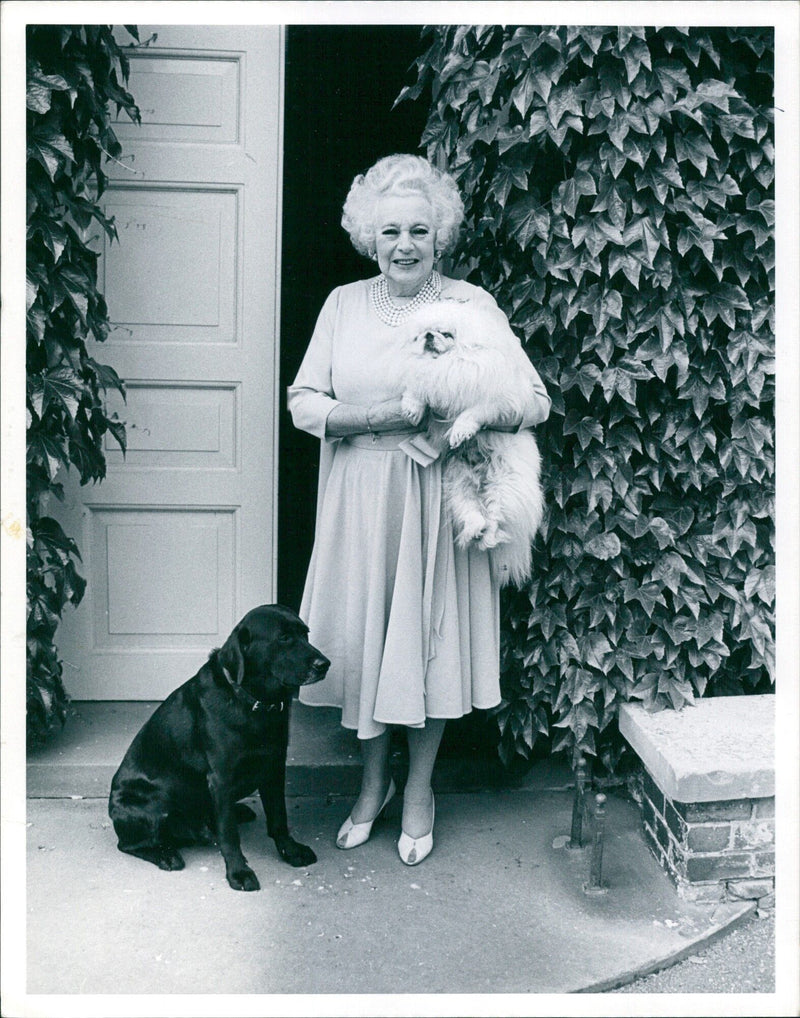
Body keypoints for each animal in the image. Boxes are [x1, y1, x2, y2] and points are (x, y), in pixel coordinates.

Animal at [108, 602, 327, 891]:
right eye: (283, 638)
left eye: (306, 634)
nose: (325, 664)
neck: (255, 703)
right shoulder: (221, 779)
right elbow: (229, 834)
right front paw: (238, 872)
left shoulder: (274, 767)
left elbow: (279, 818)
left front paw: (290, 850)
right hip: (154, 803)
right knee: (129, 844)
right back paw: (166, 855)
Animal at [398, 297, 541, 586]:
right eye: (422, 333)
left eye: (445, 333)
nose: (429, 336)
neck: (447, 363)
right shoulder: (426, 378)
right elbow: (416, 390)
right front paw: (412, 408)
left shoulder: (495, 401)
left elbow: (472, 413)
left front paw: (460, 431)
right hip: (459, 484)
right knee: (475, 514)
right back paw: (476, 531)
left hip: (504, 485)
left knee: (497, 519)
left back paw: (488, 535)